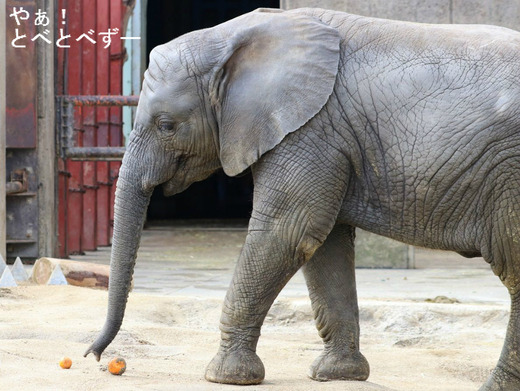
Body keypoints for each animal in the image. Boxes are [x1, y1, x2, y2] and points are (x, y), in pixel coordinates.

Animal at [85, 6, 520, 391]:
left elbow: (288, 231)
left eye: (167, 125)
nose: (94, 355)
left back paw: (493, 387)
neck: (232, 37)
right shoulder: (328, 135)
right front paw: (337, 375)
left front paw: (225, 377)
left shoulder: (310, 129)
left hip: (508, 173)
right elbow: (324, 244)